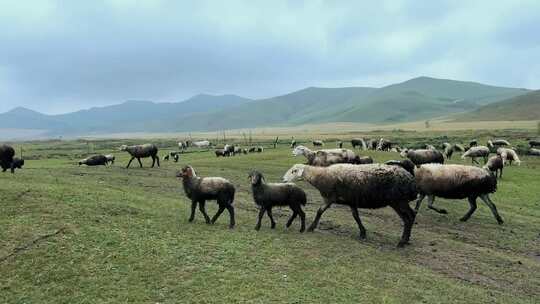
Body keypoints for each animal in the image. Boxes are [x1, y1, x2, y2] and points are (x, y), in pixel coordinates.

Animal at [282, 164, 418, 247]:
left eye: (294, 171)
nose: (283, 180)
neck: (321, 176)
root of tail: (410, 179)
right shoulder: (351, 201)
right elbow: (356, 216)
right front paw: (363, 233)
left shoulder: (330, 198)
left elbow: (319, 211)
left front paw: (311, 227)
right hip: (400, 201)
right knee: (411, 215)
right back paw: (407, 239)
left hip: (398, 201)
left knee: (408, 217)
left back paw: (402, 241)